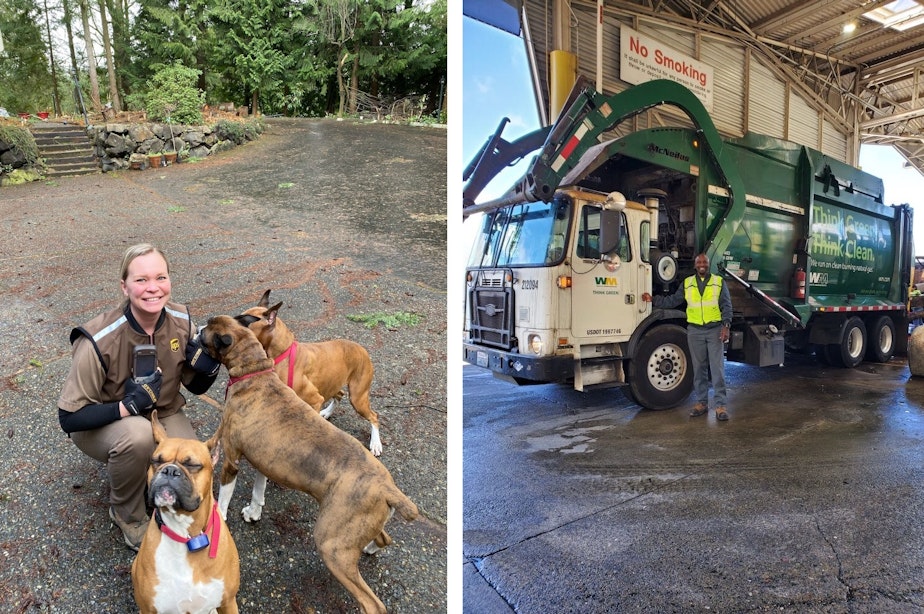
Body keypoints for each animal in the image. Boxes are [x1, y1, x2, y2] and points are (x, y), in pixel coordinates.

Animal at [134, 412, 244, 612]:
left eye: (192, 465)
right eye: (156, 461)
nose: (169, 470)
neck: (186, 536)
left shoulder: (228, 602)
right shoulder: (148, 609)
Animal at [203, 318, 422, 614]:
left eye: (206, 332)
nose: (197, 329)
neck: (255, 372)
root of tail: (388, 487)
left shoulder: (232, 459)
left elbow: (224, 497)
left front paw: (223, 516)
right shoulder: (264, 458)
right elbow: (259, 489)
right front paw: (254, 511)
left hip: (332, 546)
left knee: (372, 604)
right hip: (356, 529)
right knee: (384, 539)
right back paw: (370, 549)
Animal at [240, 290, 384, 458]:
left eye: (244, 322)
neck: (283, 353)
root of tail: (362, 349)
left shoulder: (314, 400)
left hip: (357, 397)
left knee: (373, 416)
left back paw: (375, 444)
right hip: (333, 383)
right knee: (340, 394)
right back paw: (327, 412)